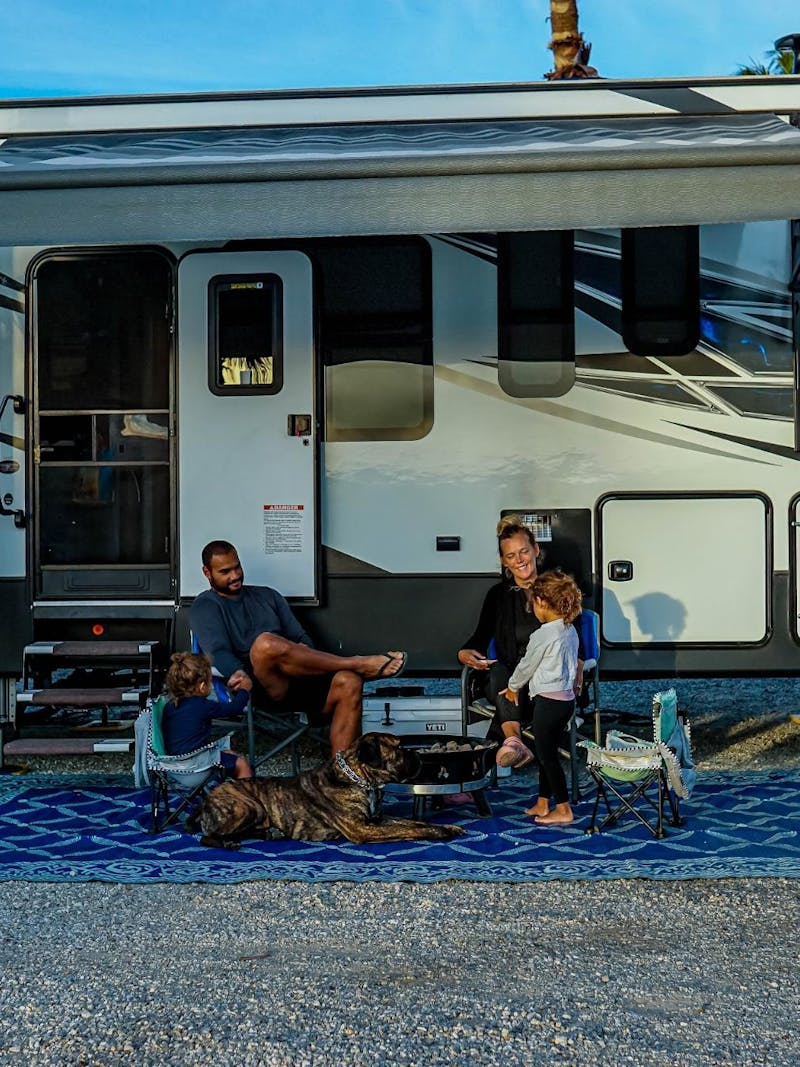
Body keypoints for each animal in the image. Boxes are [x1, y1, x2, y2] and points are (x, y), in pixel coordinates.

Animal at [185, 729, 467, 845]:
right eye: (398, 748)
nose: (418, 755)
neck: (359, 779)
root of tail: (207, 798)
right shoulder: (364, 829)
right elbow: (410, 829)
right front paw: (438, 833)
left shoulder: (376, 820)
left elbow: (414, 823)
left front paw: (450, 827)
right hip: (247, 806)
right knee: (209, 836)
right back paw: (228, 843)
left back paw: (268, 834)